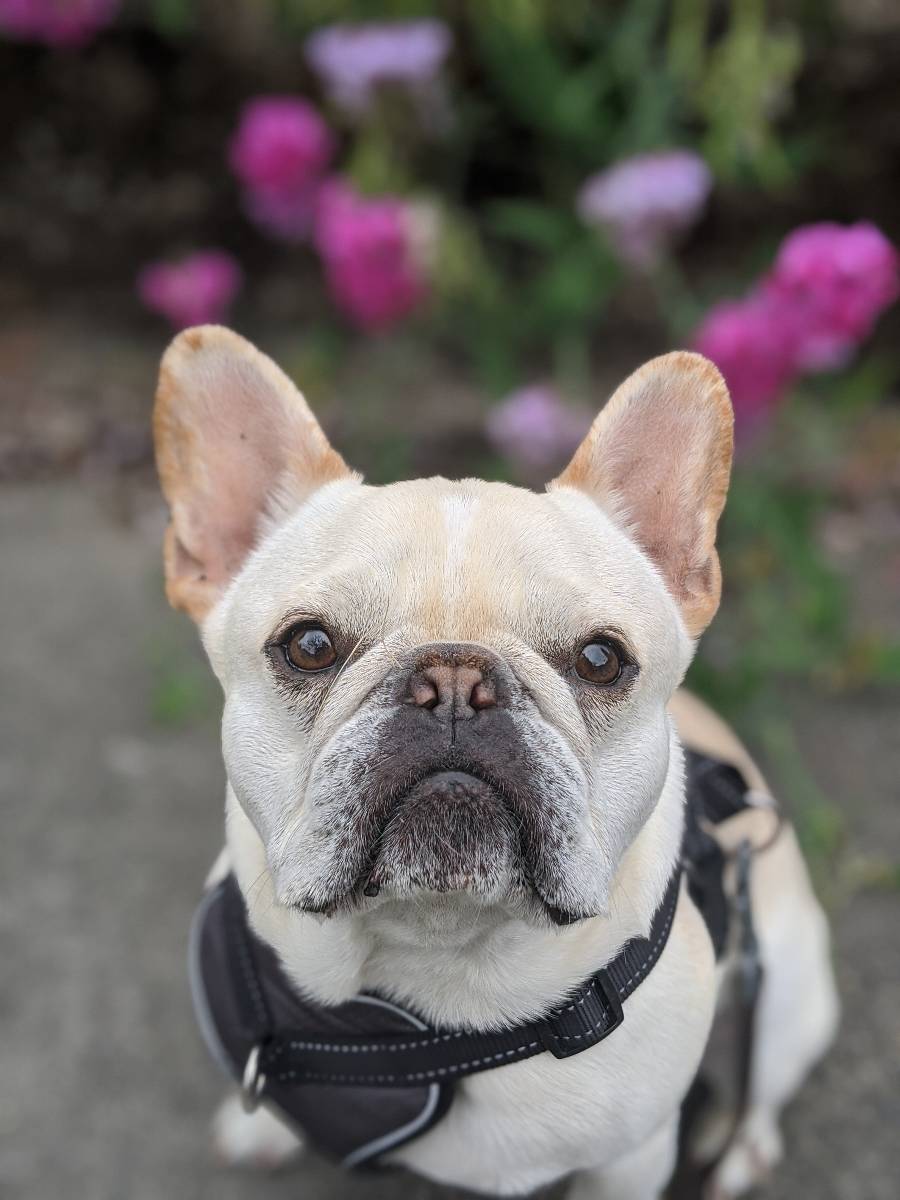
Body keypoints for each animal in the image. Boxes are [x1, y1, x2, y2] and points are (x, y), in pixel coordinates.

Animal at [153, 324, 840, 1195]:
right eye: (308, 645)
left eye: (600, 660)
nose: (454, 680)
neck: (439, 966)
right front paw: (261, 1126)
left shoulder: (631, 1161)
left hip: (789, 994)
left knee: (762, 1086)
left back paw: (741, 1152)